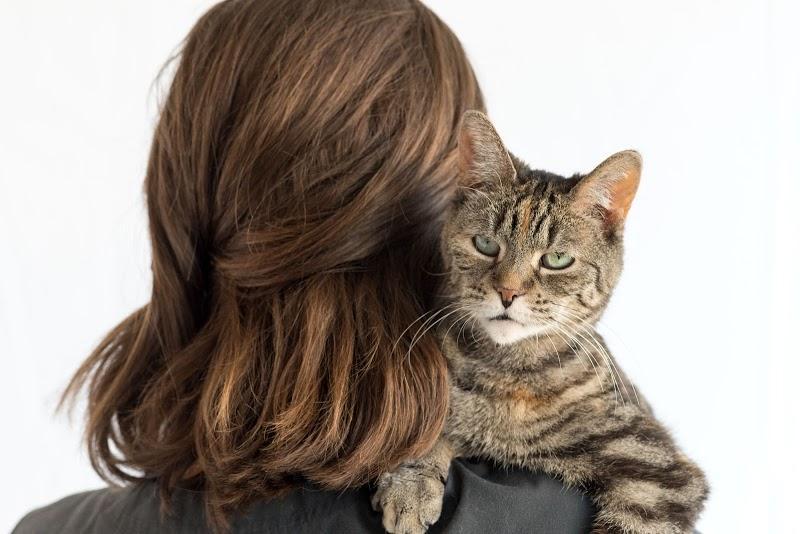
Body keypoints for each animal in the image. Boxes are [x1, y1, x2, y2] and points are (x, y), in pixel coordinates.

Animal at [372, 111, 708, 534]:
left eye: (557, 260)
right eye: (486, 245)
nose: (508, 291)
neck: (506, 375)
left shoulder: (651, 470)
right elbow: (426, 427)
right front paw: (410, 481)